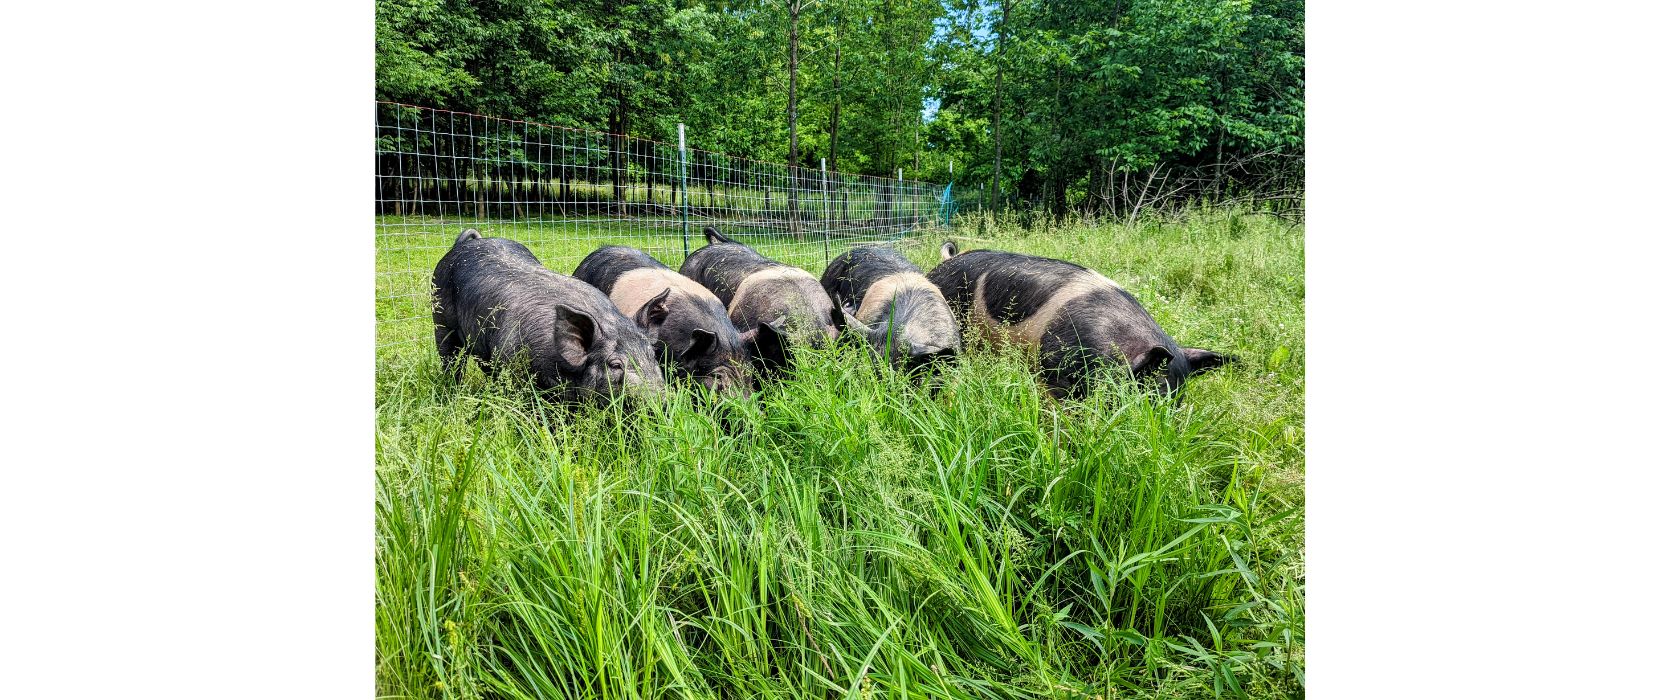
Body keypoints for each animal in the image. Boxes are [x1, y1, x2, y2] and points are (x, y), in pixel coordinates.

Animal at [430, 228, 665, 402]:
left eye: (653, 356)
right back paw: (451, 395)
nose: (660, 402)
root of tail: (463, 245)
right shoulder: (513, 365)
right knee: (450, 359)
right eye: (615, 365)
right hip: (440, 318)